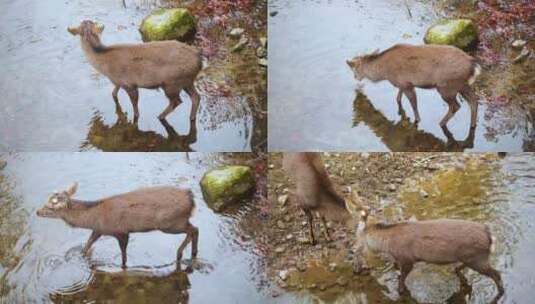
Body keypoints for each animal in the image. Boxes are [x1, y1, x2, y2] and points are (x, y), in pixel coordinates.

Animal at [36, 183, 199, 268]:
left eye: (51, 207)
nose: (37, 211)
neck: (95, 217)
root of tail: (190, 197)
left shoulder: (121, 231)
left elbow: (124, 257)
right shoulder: (98, 230)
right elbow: (87, 246)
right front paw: (79, 256)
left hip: (170, 223)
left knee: (193, 229)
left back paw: (180, 253)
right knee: (194, 229)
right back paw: (192, 254)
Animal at [67, 20, 201, 123]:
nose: (85, 20)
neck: (104, 66)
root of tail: (199, 59)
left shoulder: (129, 83)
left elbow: (135, 107)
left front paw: (135, 118)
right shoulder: (118, 82)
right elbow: (113, 93)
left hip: (171, 83)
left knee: (177, 101)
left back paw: (160, 116)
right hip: (187, 80)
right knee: (196, 97)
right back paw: (191, 117)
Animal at [348, 43, 482, 128]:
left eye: (354, 68)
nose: (355, 78)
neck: (385, 73)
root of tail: (473, 64)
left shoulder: (407, 84)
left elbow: (413, 104)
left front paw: (417, 120)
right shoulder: (403, 83)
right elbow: (398, 97)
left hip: (446, 87)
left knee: (456, 106)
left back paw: (441, 123)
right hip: (462, 85)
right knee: (474, 101)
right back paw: (473, 125)